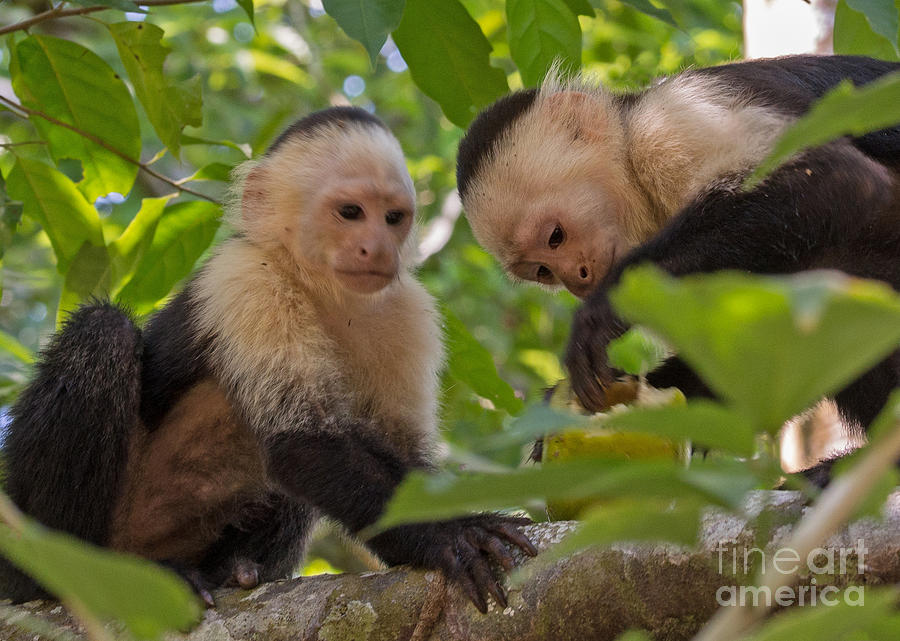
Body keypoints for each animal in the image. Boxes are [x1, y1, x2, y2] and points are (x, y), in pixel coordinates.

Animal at [1, 107, 536, 612]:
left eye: (393, 218)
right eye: (350, 212)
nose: (378, 248)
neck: (322, 288)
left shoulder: (409, 312)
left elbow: (391, 450)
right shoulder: (246, 278)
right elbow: (304, 444)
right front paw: (452, 534)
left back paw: (231, 568)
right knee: (103, 332)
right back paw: (69, 571)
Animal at [458, 57, 900, 482]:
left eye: (555, 236)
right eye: (542, 272)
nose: (579, 281)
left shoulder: (676, 117)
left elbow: (829, 179)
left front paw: (600, 313)